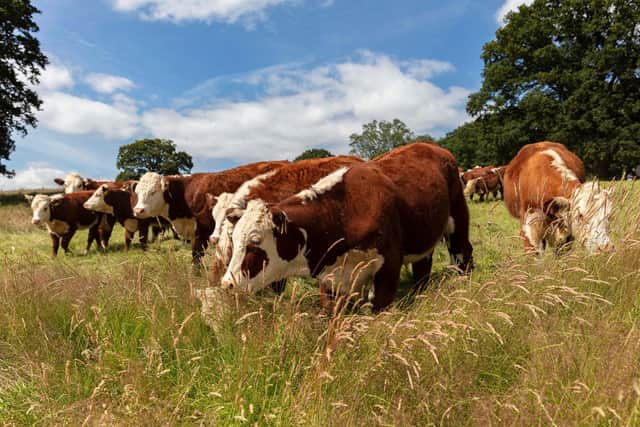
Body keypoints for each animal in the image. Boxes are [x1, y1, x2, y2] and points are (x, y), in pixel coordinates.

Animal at [132, 161, 289, 264]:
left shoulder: (202, 230)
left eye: (153, 192)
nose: (138, 210)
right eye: (137, 192)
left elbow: (197, 254)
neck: (186, 193)